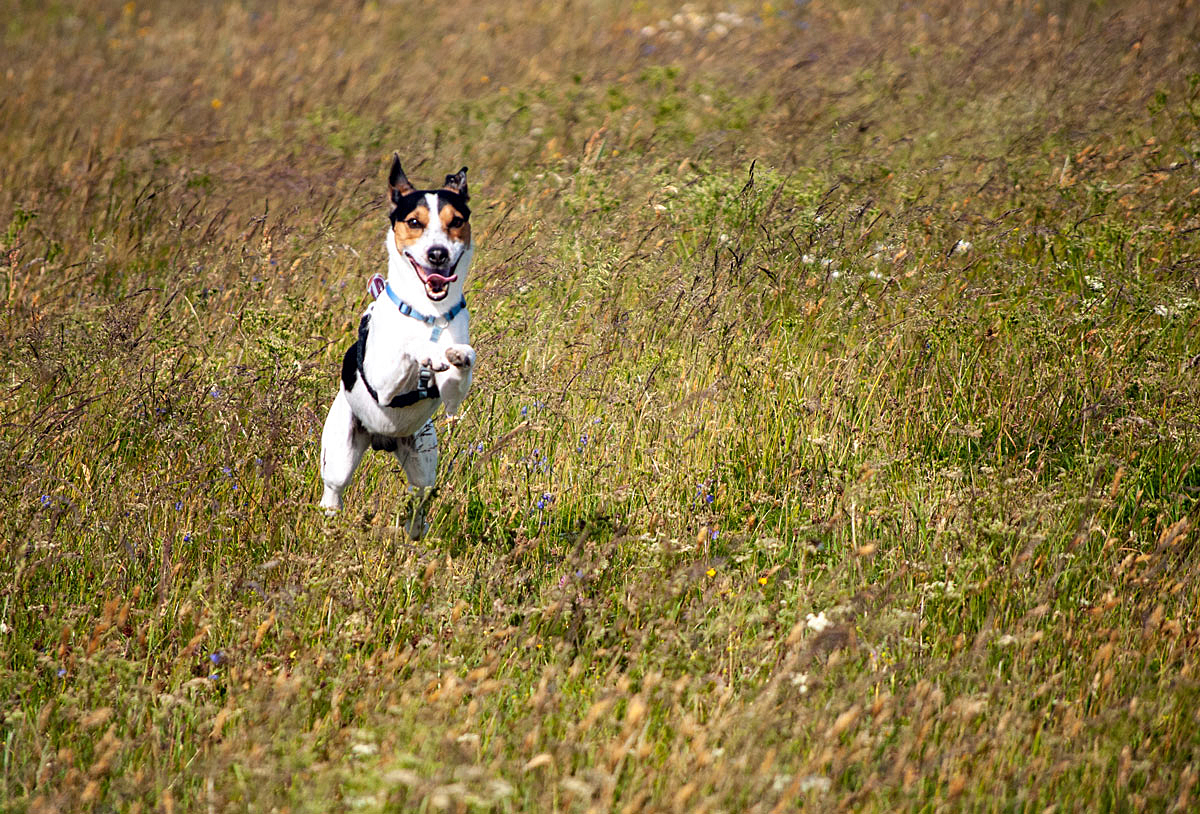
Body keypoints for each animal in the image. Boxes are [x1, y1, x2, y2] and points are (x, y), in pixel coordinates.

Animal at [321, 156, 475, 542]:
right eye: (414, 222)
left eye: (457, 221)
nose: (438, 254)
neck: (429, 313)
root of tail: (382, 440)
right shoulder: (384, 381)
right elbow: (409, 348)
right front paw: (428, 353)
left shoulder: (452, 396)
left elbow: (461, 370)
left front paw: (457, 355)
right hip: (340, 453)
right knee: (332, 492)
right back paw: (329, 522)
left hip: (423, 458)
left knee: (420, 496)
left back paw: (415, 528)